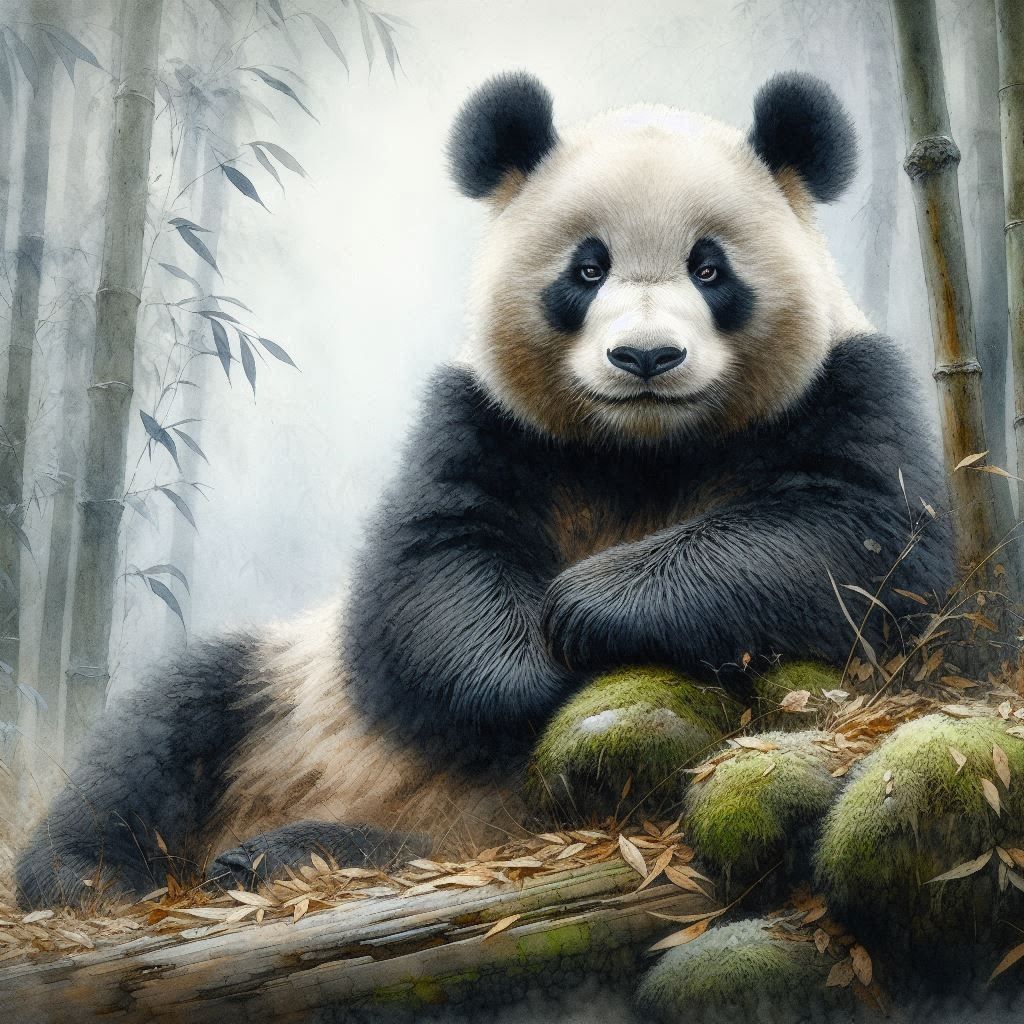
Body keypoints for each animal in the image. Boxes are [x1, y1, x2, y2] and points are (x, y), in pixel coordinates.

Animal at [16, 71, 952, 907]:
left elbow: (860, 543)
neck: (644, 450)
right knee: (166, 728)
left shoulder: (843, 389)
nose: (646, 358)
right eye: (587, 268)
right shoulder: (482, 419)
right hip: (282, 690)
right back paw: (90, 877)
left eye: (710, 268)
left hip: (463, 829)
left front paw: (591, 607)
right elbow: (432, 567)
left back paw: (284, 856)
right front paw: (536, 672)